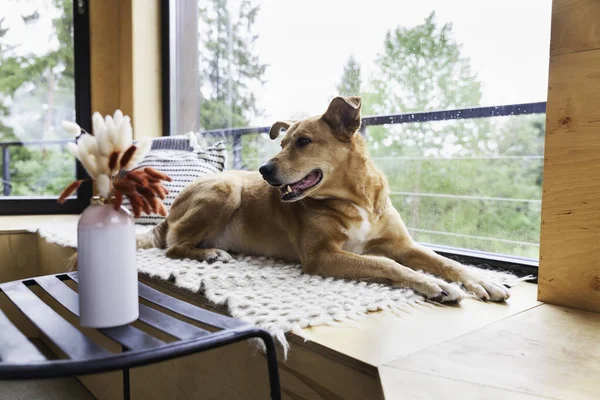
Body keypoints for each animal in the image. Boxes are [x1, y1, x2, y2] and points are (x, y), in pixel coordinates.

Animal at [138, 97, 508, 302]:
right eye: (282, 142)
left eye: (303, 142)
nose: (263, 170)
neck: (356, 199)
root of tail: (167, 216)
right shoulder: (322, 255)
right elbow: (387, 264)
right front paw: (433, 285)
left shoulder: (403, 245)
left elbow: (448, 263)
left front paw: (483, 281)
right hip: (225, 190)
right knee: (172, 246)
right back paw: (210, 253)